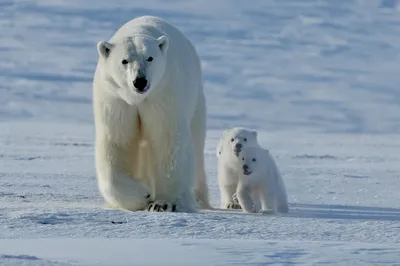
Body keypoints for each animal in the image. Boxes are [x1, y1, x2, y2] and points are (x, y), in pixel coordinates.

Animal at [92, 15, 211, 213]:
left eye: (150, 58)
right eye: (124, 61)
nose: (140, 81)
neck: (137, 99)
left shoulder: (162, 94)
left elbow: (167, 139)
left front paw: (164, 203)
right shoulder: (116, 99)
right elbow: (118, 141)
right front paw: (143, 194)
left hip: (195, 100)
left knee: (196, 144)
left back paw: (198, 198)